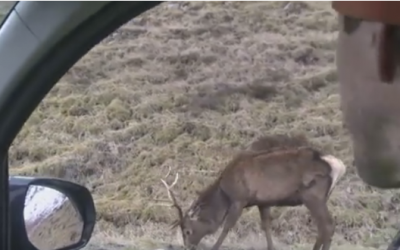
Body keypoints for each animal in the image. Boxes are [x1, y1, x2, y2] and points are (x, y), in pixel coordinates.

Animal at [160, 146, 346, 250]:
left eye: (187, 230)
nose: (188, 247)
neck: (224, 192)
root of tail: (339, 166)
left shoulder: (239, 199)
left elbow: (227, 226)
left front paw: (214, 247)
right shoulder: (263, 202)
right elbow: (266, 226)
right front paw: (271, 248)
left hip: (313, 195)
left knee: (327, 225)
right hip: (320, 198)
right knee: (324, 227)